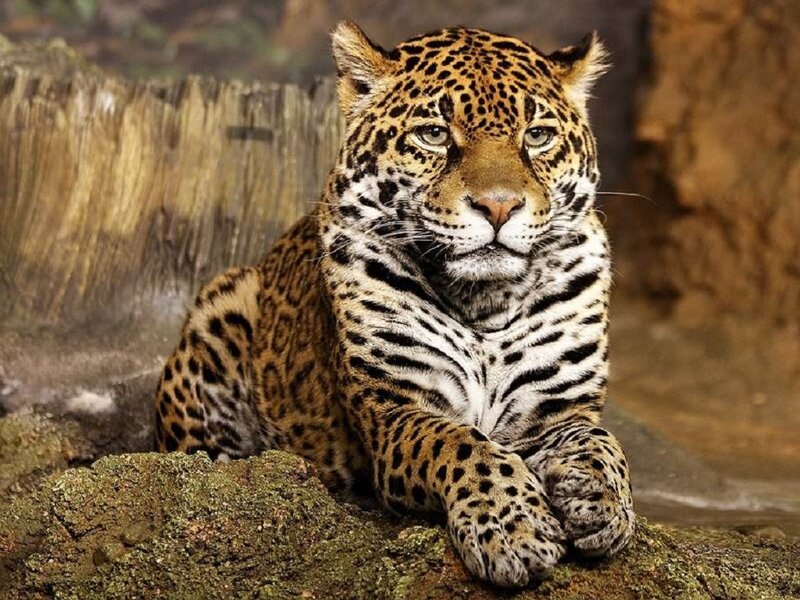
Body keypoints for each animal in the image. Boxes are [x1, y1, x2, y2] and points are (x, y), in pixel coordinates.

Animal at [154, 21, 634, 588]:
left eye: (536, 137)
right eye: (434, 134)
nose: (499, 206)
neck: (485, 301)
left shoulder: (559, 412)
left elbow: (602, 442)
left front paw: (605, 503)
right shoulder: (395, 409)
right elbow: (463, 444)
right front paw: (513, 529)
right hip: (222, 302)